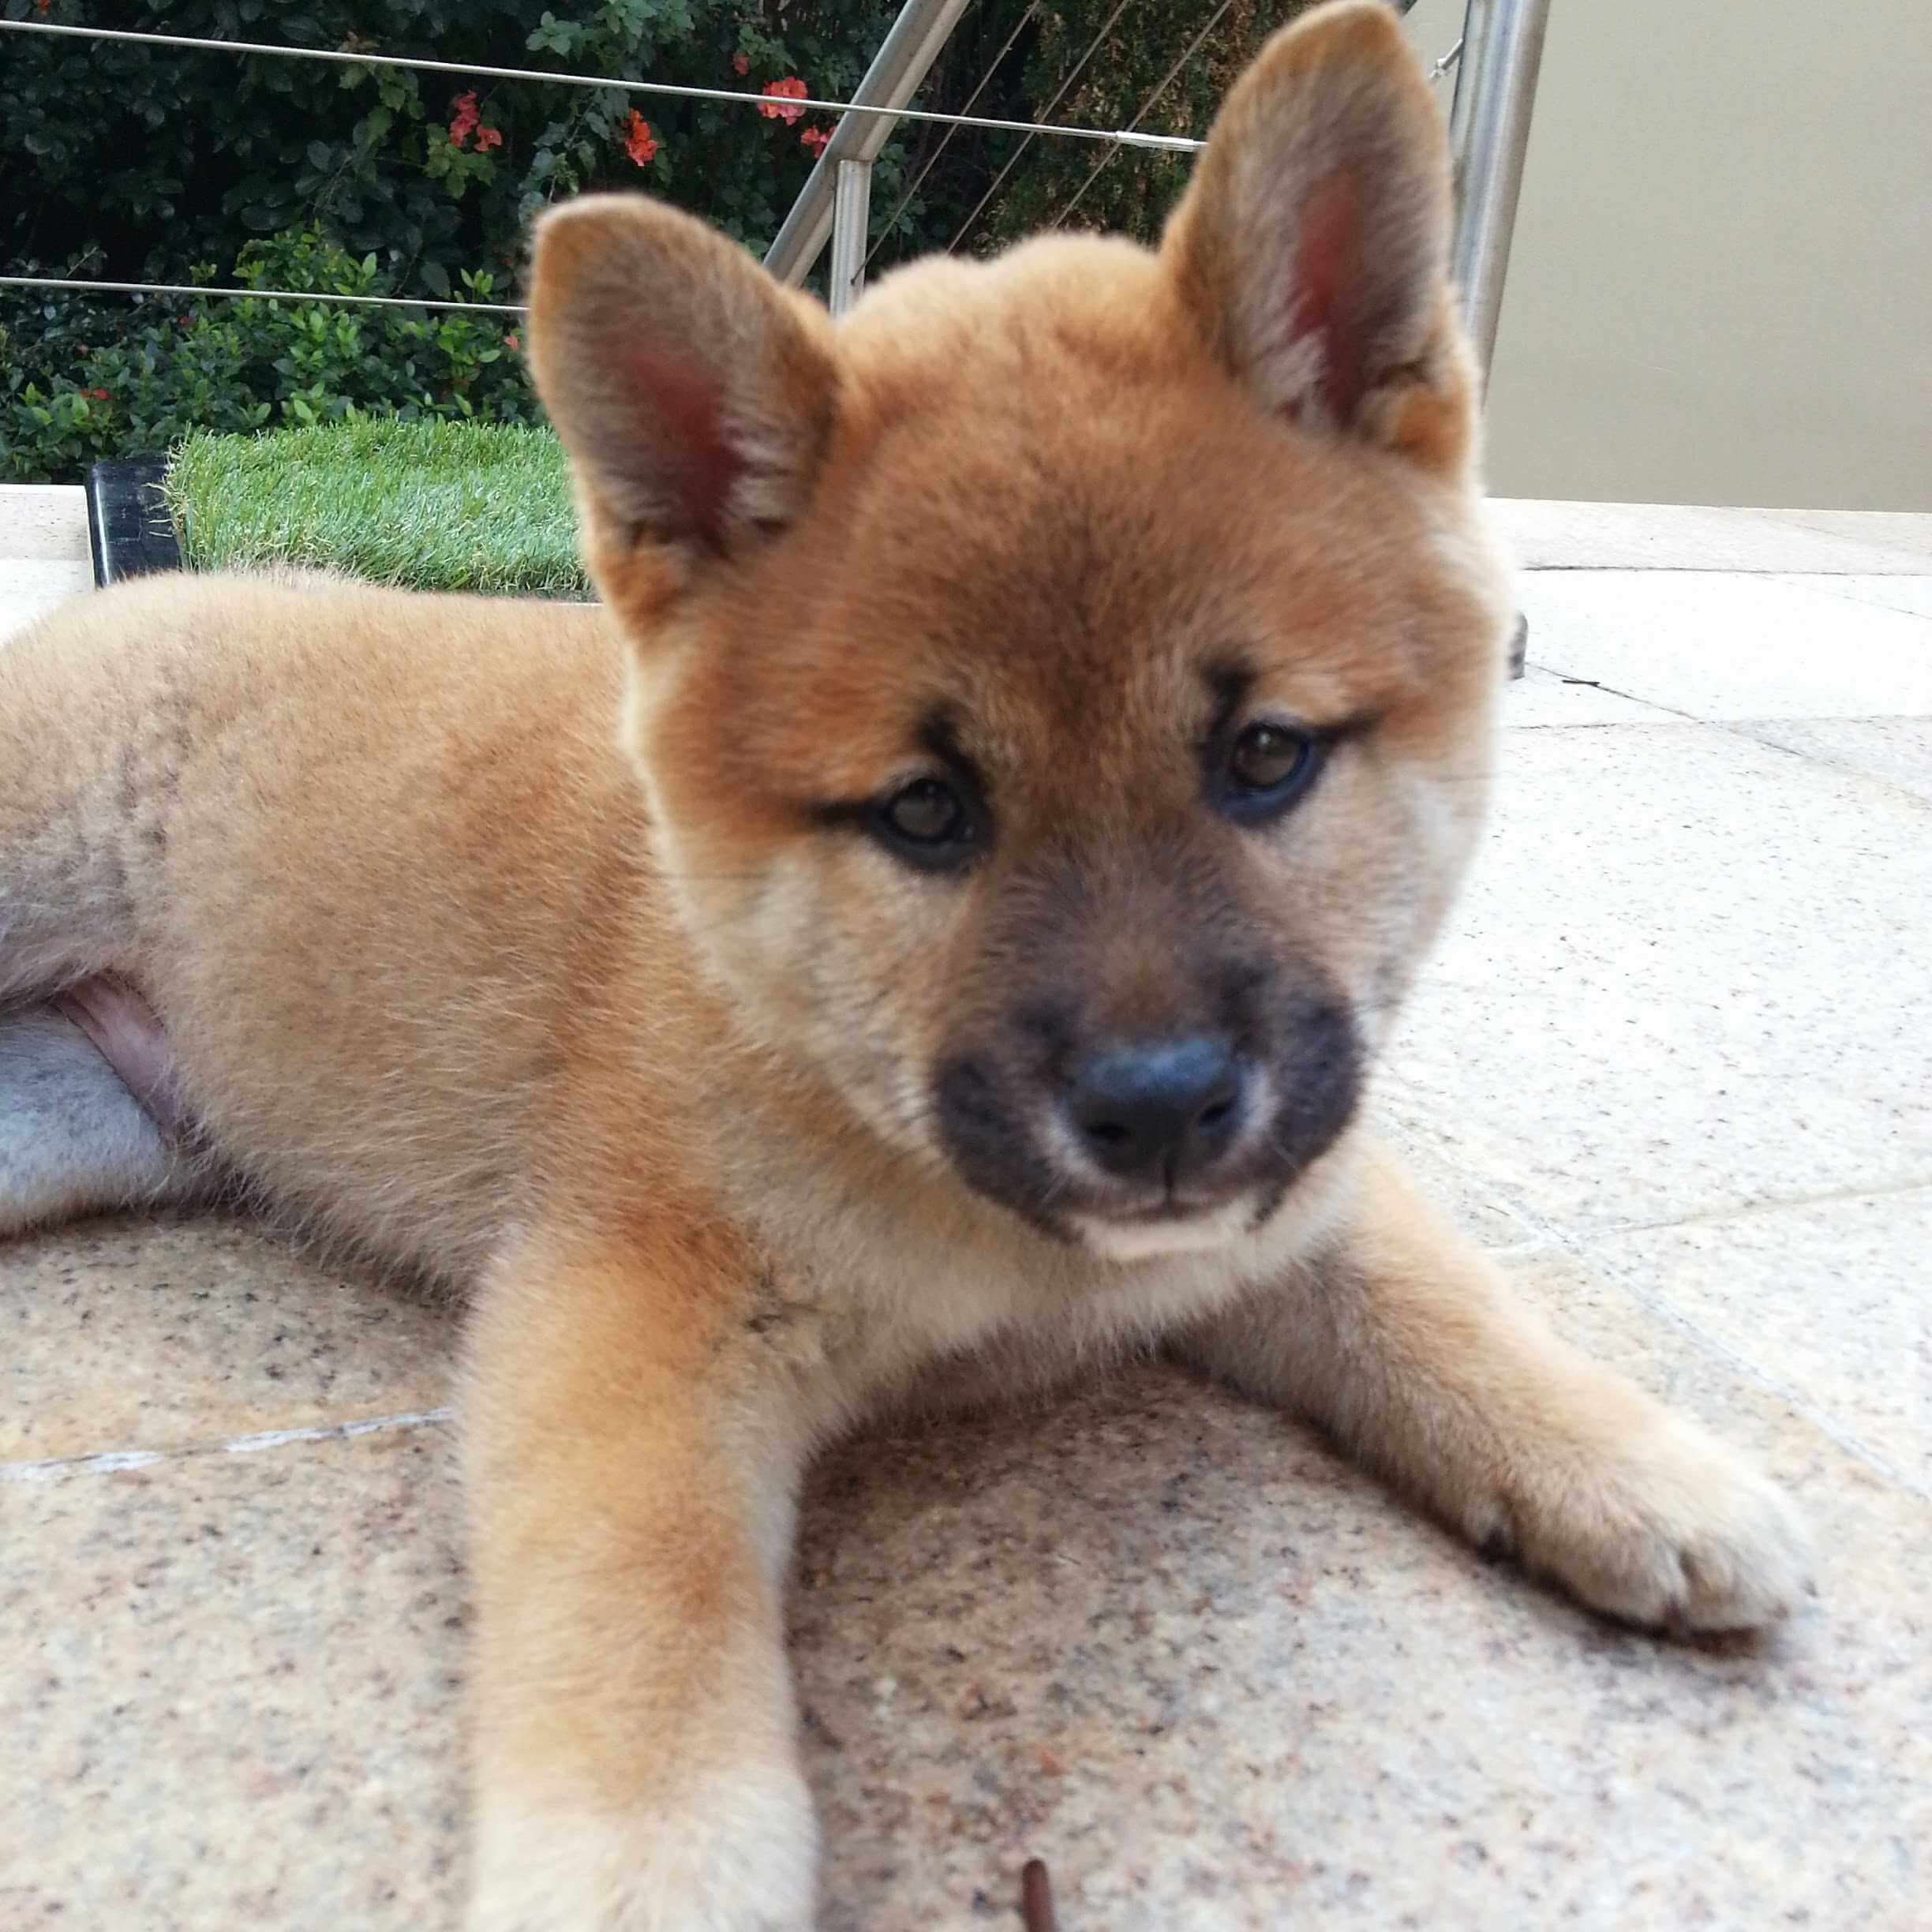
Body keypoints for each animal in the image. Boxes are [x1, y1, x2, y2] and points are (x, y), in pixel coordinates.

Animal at [0, 7, 1808, 1924]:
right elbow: (644, 1629)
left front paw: (1634, 1464)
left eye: (1263, 755)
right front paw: (647, 1876)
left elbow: (1436, 1300)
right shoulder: (626, 1317)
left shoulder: (1291, 1186)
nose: (1158, 1111)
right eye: (928, 811)